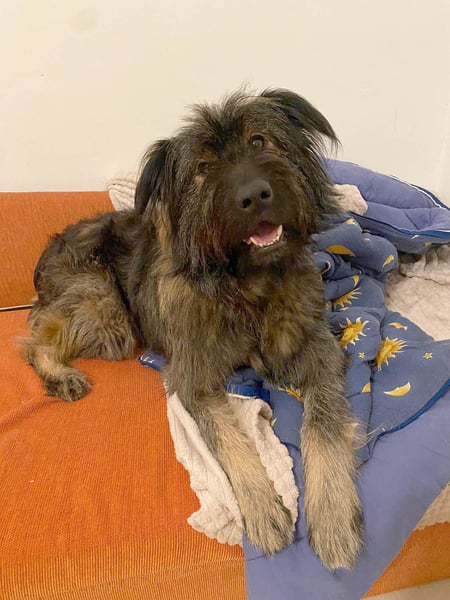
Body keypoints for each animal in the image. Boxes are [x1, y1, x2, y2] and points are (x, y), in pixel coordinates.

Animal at [23, 89, 363, 570]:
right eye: (203, 168)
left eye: (259, 141)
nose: (254, 195)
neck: (244, 284)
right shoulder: (194, 376)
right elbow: (229, 440)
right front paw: (264, 511)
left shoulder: (318, 350)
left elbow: (325, 424)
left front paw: (332, 516)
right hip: (105, 311)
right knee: (35, 338)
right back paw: (60, 374)